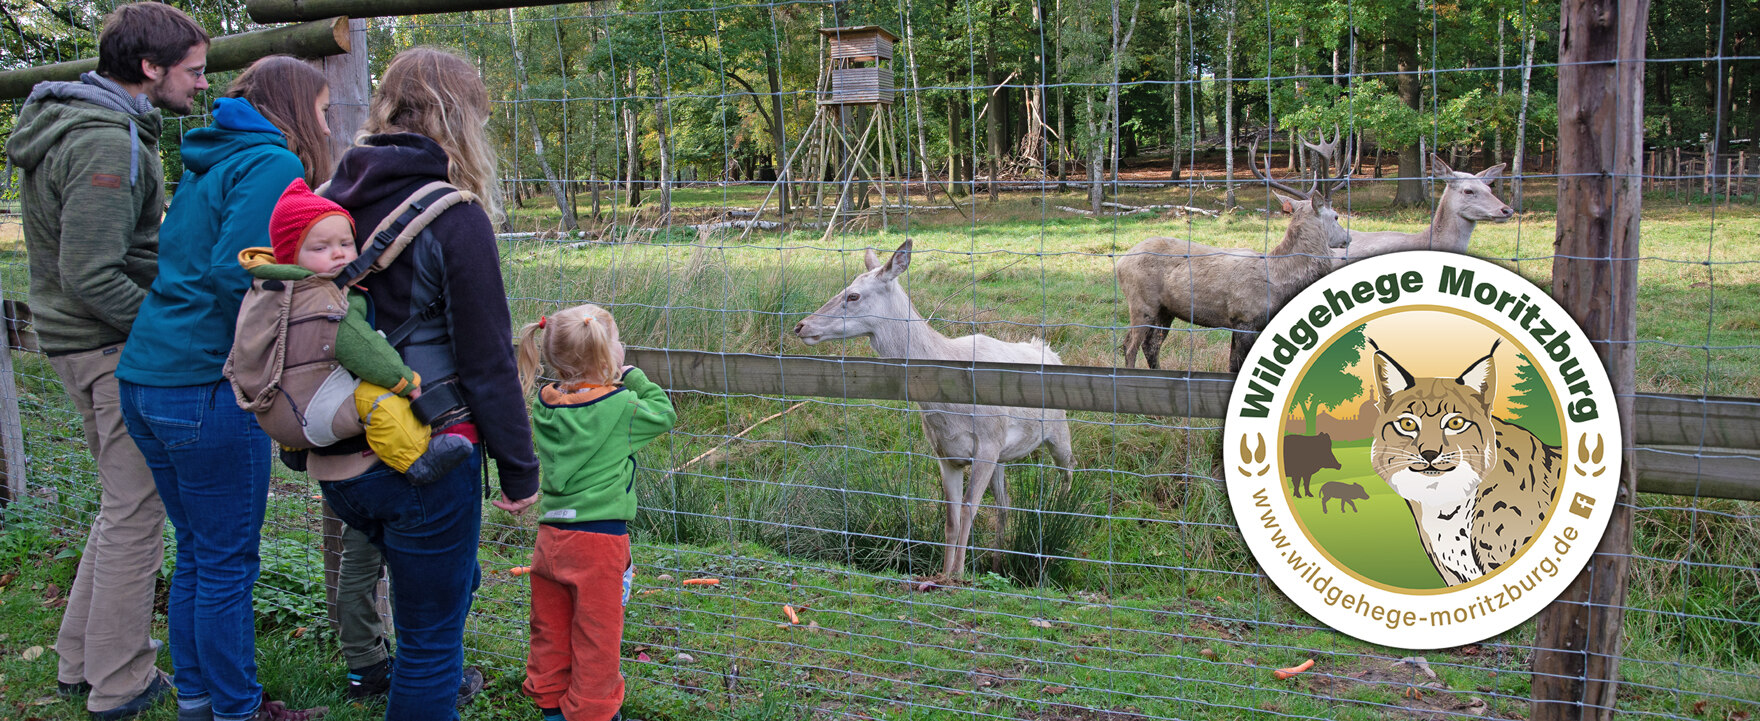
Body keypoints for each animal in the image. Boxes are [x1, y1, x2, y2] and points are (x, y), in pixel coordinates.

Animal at [795, 242, 1070, 580]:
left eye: (854, 295)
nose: (800, 326)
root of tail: (1049, 350)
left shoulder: (986, 445)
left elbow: (968, 509)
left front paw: (958, 577)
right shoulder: (946, 453)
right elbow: (951, 516)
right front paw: (941, 574)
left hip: (1058, 431)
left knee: (1068, 472)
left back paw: (1060, 522)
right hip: (1003, 455)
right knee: (1005, 503)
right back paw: (997, 564)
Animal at [1119, 136, 1351, 371]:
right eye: (1336, 216)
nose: (1348, 238)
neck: (1279, 280)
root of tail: (1119, 263)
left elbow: (1233, 365)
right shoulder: (1244, 317)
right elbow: (1236, 366)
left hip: (1165, 310)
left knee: (1151, 345)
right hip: (1141, 301)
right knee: (1129, 345)